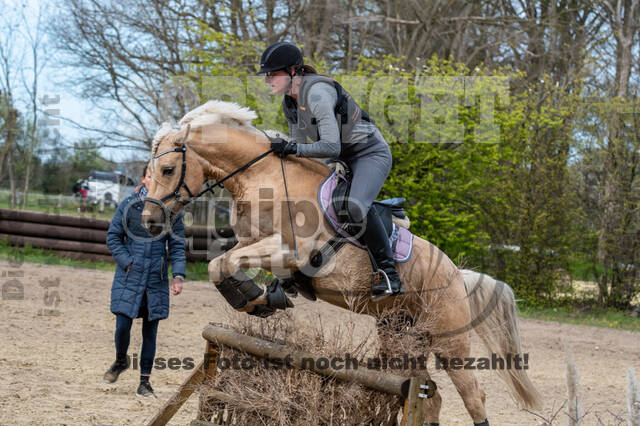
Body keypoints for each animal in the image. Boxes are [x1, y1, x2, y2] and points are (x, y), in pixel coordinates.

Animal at [141, 101, 540, 424]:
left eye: (168, 170)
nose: (149, 221)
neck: (263, 178)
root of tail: (457, 273)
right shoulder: (251, 242)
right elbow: (220, 263)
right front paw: (261, 299)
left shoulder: (293, 252)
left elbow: (224, 263)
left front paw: (255, 298)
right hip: (402, 336)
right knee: (428, 394)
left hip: (449, 340)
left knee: (473, 395)